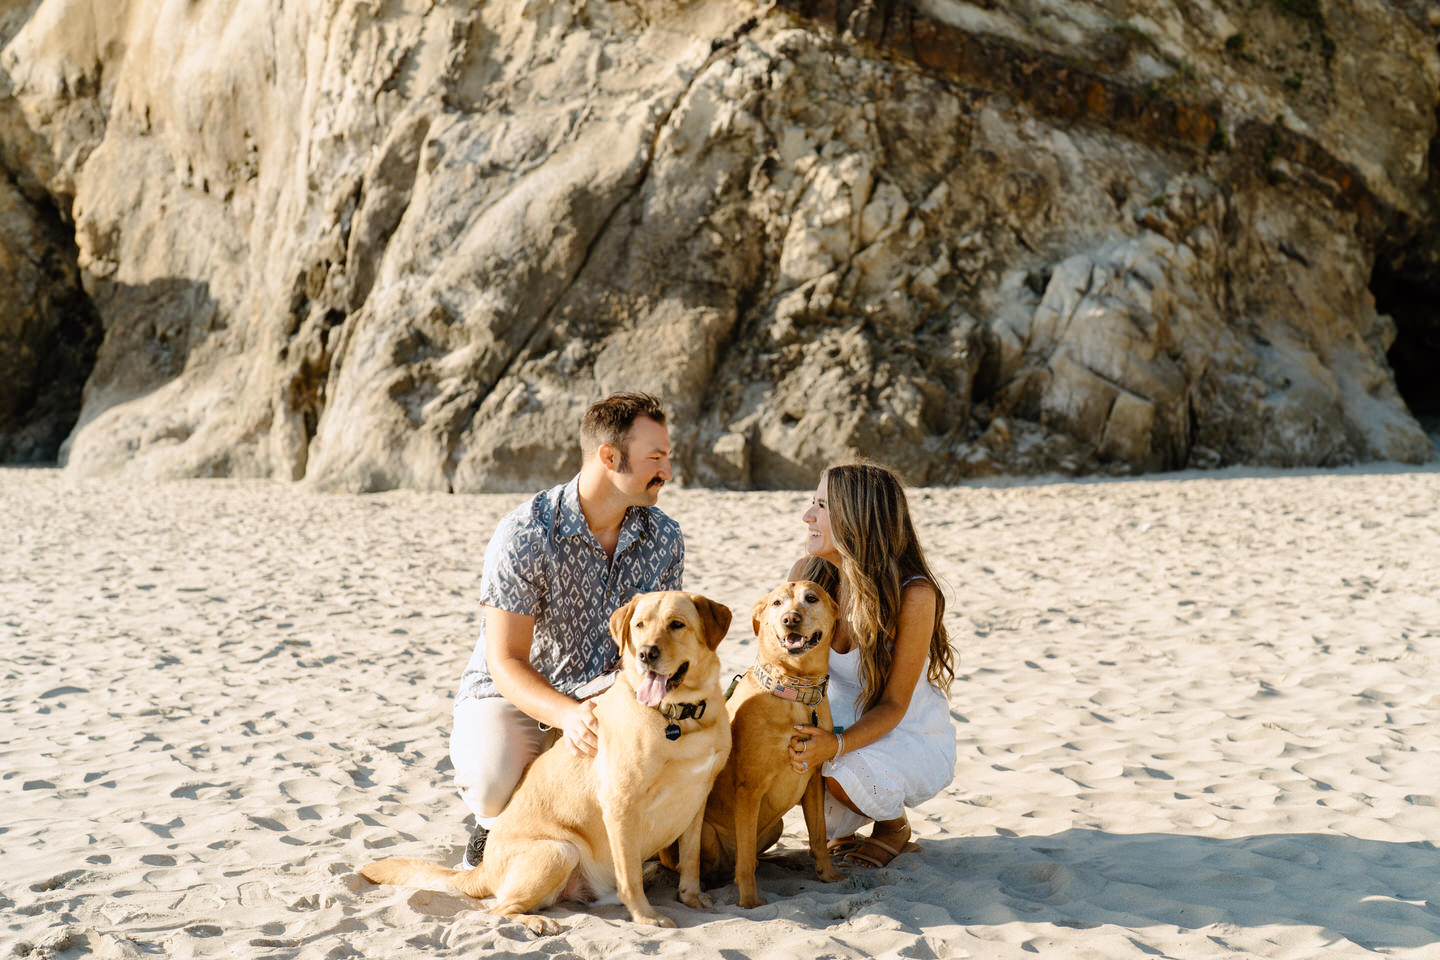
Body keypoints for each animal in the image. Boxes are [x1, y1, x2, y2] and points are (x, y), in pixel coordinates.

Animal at [355, 590, 737, 932]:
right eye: (640, 625)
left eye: (677, 624)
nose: (645, 653)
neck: (680, 716)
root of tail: (484, 868)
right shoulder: (620, 804)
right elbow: (630, 875)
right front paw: (646, 917)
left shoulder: (696, 800)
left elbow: (690, 860)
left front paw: (692, 898)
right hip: (559, 850)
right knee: (497, 910)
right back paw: (536, 922)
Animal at [688, 578, 840, 909]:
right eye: (776, 603)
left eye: (811, 598)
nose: (790, 620)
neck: (794, 691)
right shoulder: (749, 789)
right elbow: (745, 862)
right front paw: (750, 902)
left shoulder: (813, 781)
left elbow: (819, 836)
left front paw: (830, 877)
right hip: (705, 832)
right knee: (722, 864)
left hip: (776, 825)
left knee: (757, 856)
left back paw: (783, 861)